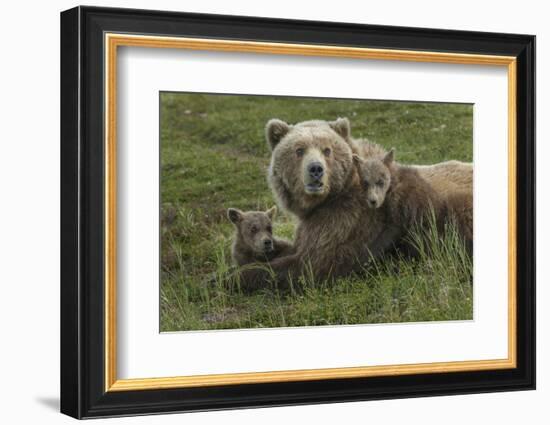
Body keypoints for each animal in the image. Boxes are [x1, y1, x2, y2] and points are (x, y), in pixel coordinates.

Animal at [239, 117, 472, 290]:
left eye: (327, 150)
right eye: (299, 150)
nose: (316, 169)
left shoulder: (349, 220)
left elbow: (311, 264)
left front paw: (235, 276)